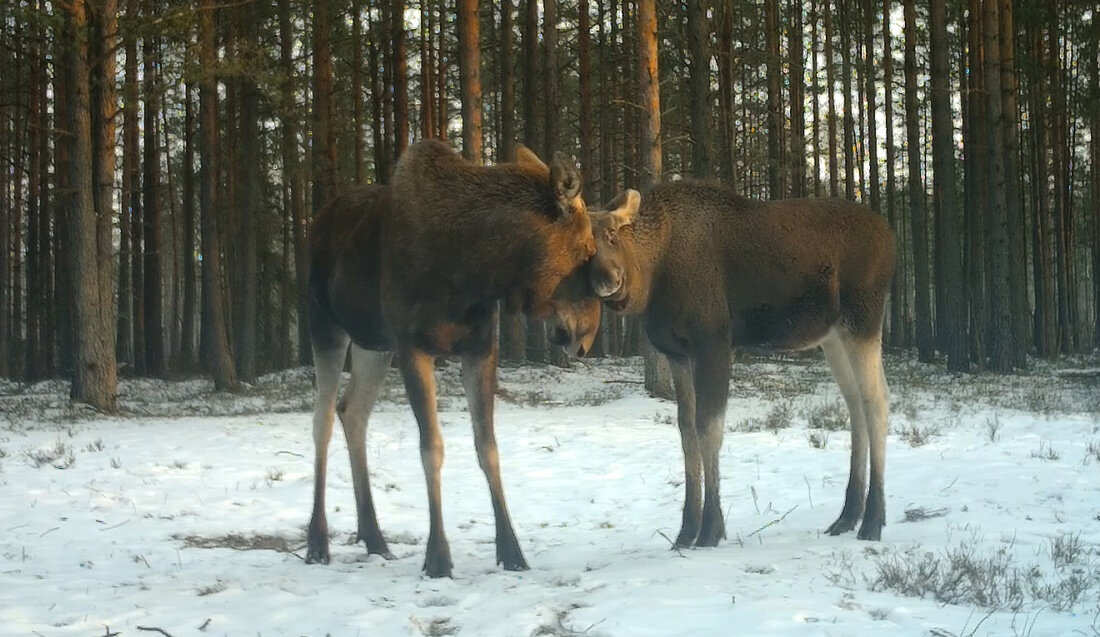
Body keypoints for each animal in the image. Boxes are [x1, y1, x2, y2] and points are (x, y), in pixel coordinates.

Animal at [589, 180, 897, 547]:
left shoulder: (714, 344)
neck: (652, 276)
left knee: (877, 400)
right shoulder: (677, 353)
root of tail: (891, 237)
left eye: (611, 236)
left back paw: (873, 520)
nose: (607, 279)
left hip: (862, 320)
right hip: (833, 336)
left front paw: (711, 529)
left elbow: (709, 429)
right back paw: (848, 516)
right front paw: (685, 531)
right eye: (582, 246)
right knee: (855, 403)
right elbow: (686, 430)